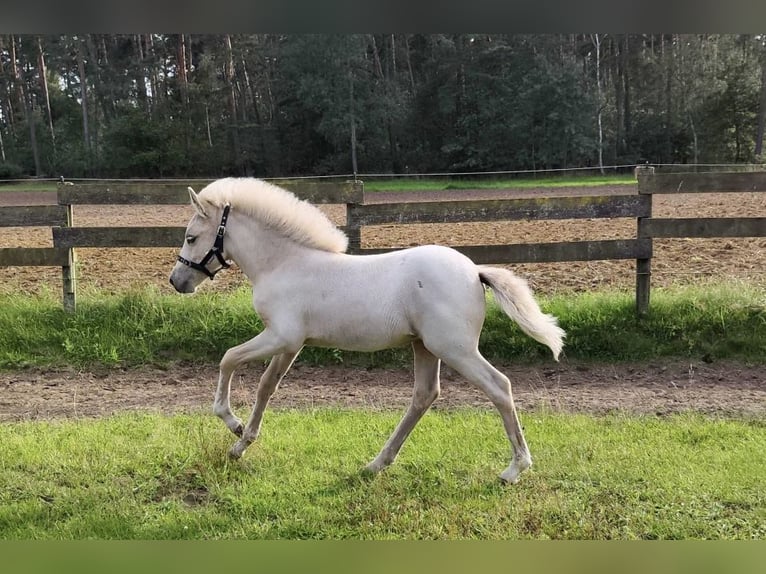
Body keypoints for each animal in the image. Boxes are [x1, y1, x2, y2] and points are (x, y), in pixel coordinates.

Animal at [170, 178, 564, 484]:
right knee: (424, 396)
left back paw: (514, 469)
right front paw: (241, 443)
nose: (177, 282)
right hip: (425, 347)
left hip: (455, 349)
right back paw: (376, 464)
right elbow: (266, 387)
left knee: (499, 387)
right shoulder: (291, 344)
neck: (284, 263)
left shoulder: (280, 336)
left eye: (191, 237)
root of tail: (474, 271)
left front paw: (231, 422)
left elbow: (228, 359)